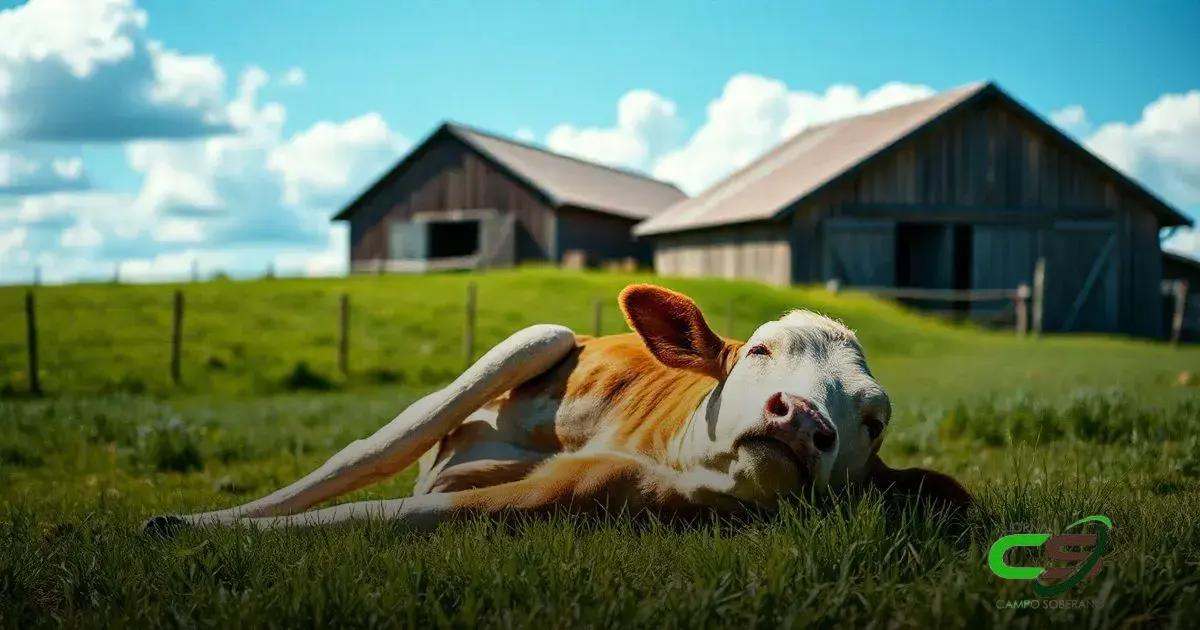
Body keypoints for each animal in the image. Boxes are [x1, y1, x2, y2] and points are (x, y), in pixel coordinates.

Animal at [145, 284, 970, 533]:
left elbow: (380, 516)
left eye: (874, 423)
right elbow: (365, 462)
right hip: (539, 337)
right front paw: (196, 521)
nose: (801, 418)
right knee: (376, 448)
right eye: (761, 349)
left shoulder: (565, 498)